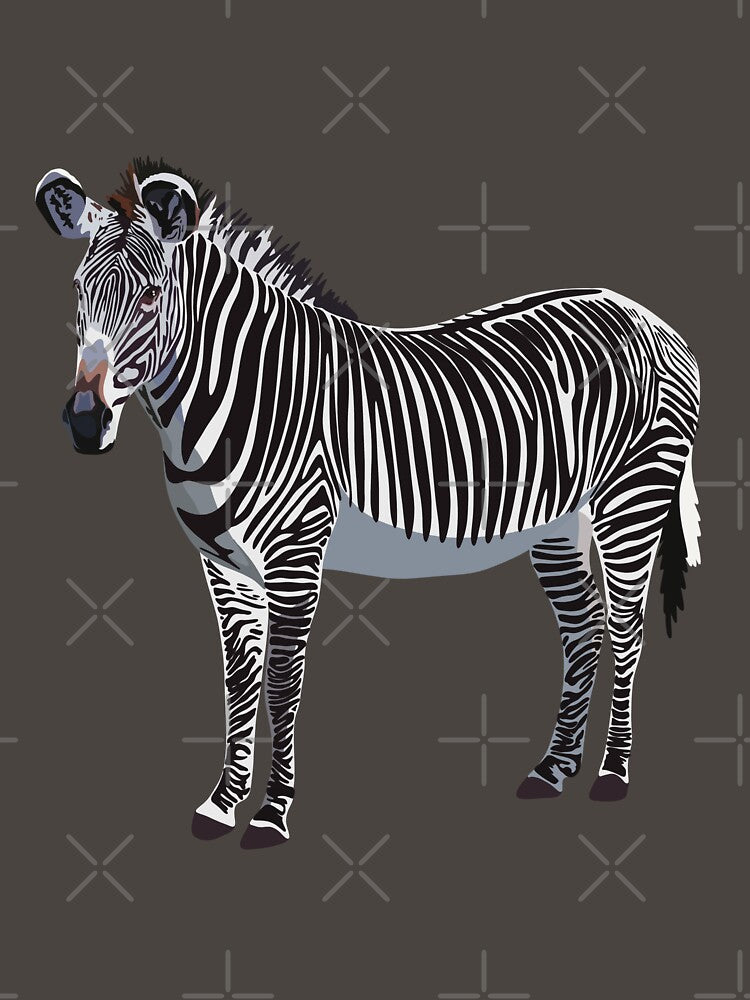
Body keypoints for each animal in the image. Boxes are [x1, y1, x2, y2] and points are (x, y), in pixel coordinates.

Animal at [35, 159, 701, 849]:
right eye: (79, 295)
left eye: (148, 298)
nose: (83, 424)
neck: (232, 396)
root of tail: (641, 311)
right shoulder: (222, 564)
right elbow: (239, 680)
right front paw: (221, 804)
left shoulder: (295, 553)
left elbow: (282, 681)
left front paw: (272, 814)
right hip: (558, 521)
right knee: (583, 627)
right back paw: (553, 769)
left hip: (633, 497)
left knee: (624, 629)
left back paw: (612, 773)